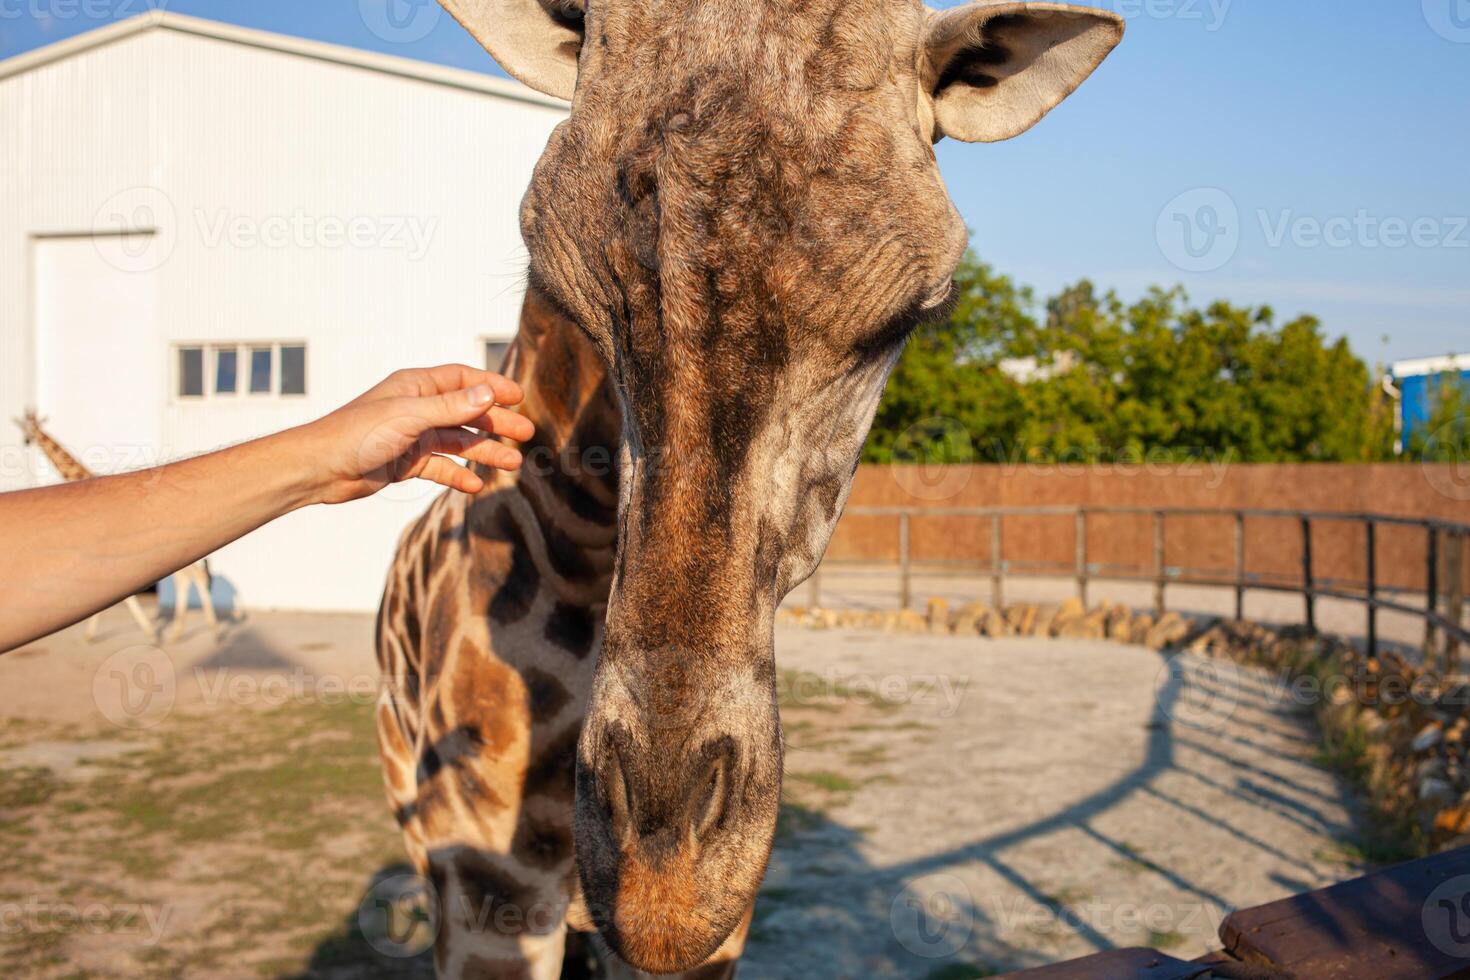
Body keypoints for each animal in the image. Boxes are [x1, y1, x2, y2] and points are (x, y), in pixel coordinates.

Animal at [15, 411, 220, 646]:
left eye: (31, 428)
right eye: (24, 426)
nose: (26, 440)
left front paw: (149, 633)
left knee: (195, 578)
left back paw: (203, 632)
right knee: (190, 579)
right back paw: (185, 632)